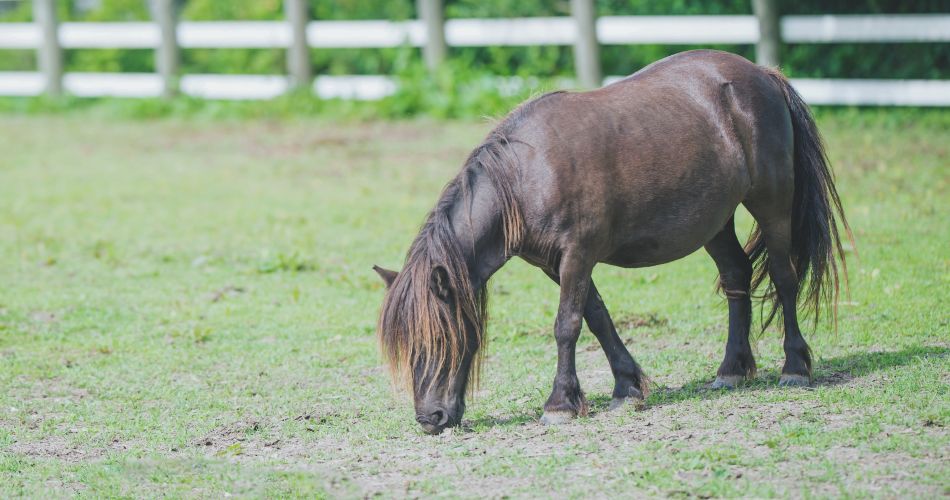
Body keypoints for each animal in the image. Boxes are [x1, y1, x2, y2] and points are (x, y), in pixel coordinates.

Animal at [374, 49, 856, 434]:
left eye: (439, 339)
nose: (429, 418)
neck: (525, 176)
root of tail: (763, 74)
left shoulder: (578, 255)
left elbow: (567, 325)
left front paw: (560, 404)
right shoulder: (557, 264)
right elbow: (597, 318)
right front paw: (627, 387)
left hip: (772, 203)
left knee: (784, 276)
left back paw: (795, 367)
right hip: (714, 221)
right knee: (737, 276)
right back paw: (731, 370)